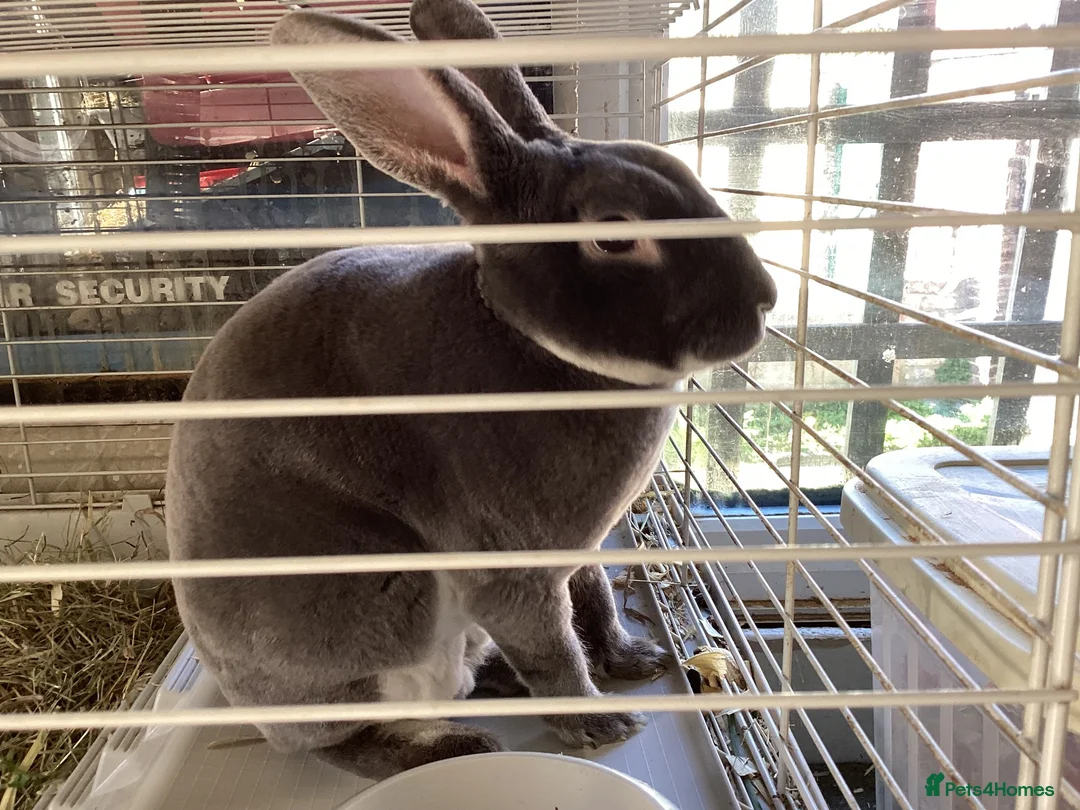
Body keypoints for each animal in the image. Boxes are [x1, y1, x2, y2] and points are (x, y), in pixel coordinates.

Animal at [164, 0, 777, 781]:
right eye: (614, 236)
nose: (763, 302)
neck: (526, 339)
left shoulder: (579, 556)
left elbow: (596, 604)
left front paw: (635, 660)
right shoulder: (508, 569)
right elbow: (552, 648)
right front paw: (602, 722)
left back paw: (496, 688)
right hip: (381, 609)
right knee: (346, 741)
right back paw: (457, 744)